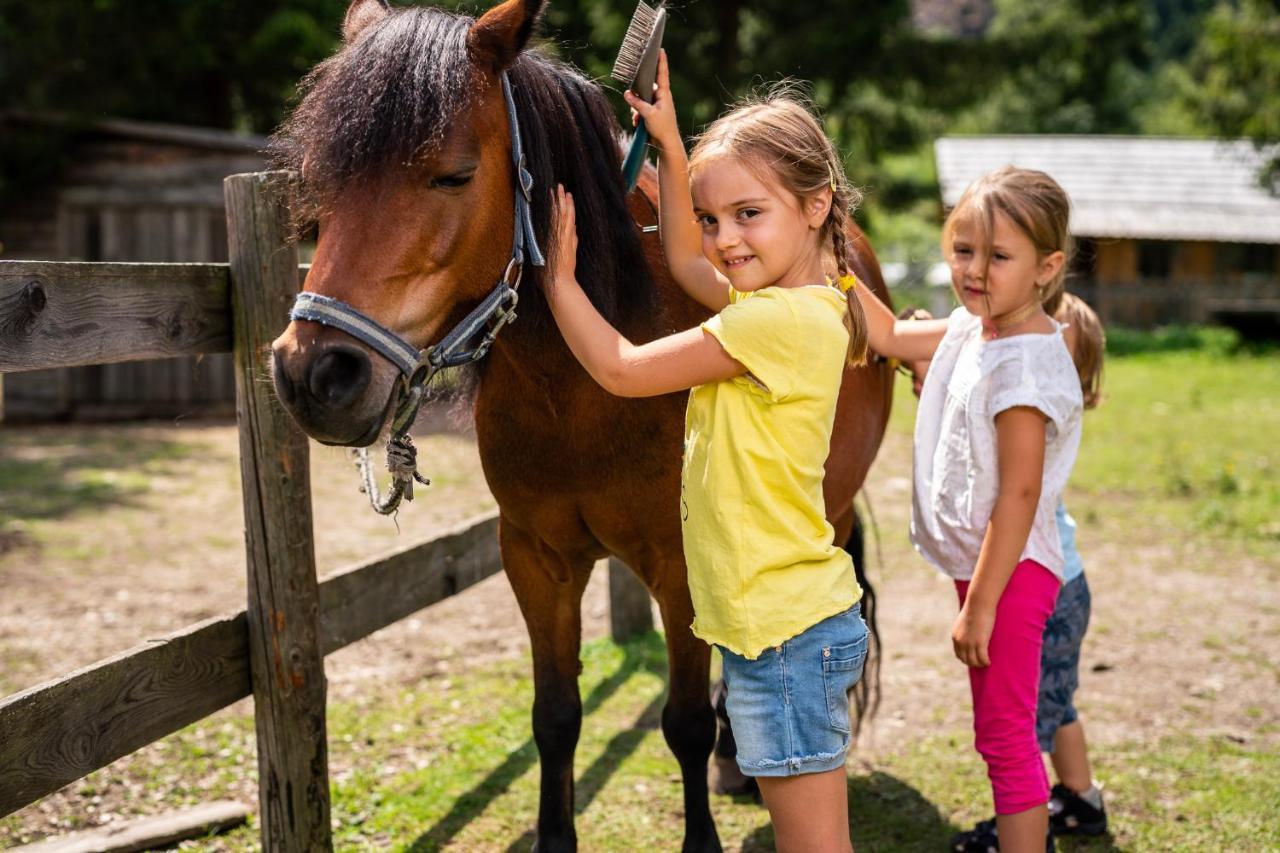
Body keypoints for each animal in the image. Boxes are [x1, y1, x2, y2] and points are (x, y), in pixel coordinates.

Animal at [270, 3, 890, 845]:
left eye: (453, 174)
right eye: (323, 181)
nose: (315, 374)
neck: (579, 393)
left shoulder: (681, 564)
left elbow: (684, 720)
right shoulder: (536, 558)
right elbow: (556, 716)